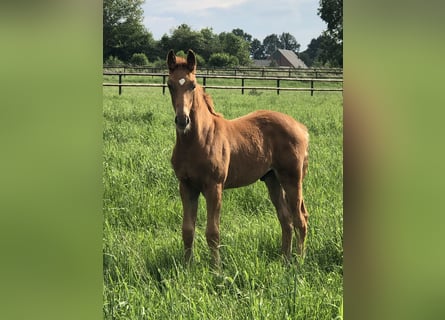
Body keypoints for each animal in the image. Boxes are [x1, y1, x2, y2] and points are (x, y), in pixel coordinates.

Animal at [166, 49, 308, 264]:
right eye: (169, 85)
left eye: (193, 85)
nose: (183, 120)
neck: (198, 140)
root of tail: (301, 127)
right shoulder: (186, 186)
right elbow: (188, 230)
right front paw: (187, 266)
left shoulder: (214, 187)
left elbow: (213, 233)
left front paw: (216, 269)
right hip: (272, 179)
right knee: (286, 219)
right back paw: (284, 258)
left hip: (292, 178)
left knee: (300, 218)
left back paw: (299, 262)